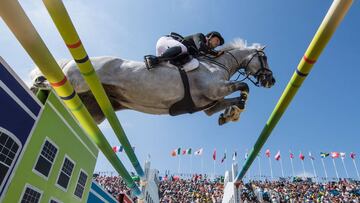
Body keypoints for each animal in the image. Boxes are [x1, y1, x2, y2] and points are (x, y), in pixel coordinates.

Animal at [31, 39, 278, 125]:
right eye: (264, 58)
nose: (271, 81)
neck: (219, 63)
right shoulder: (215, 89)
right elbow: (244, 87)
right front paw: (234, 112)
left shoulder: (209, 103)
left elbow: (231, 100)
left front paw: (229, 114)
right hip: (77, 84)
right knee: (52, 84)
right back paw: (37, 84)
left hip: (94, 110)